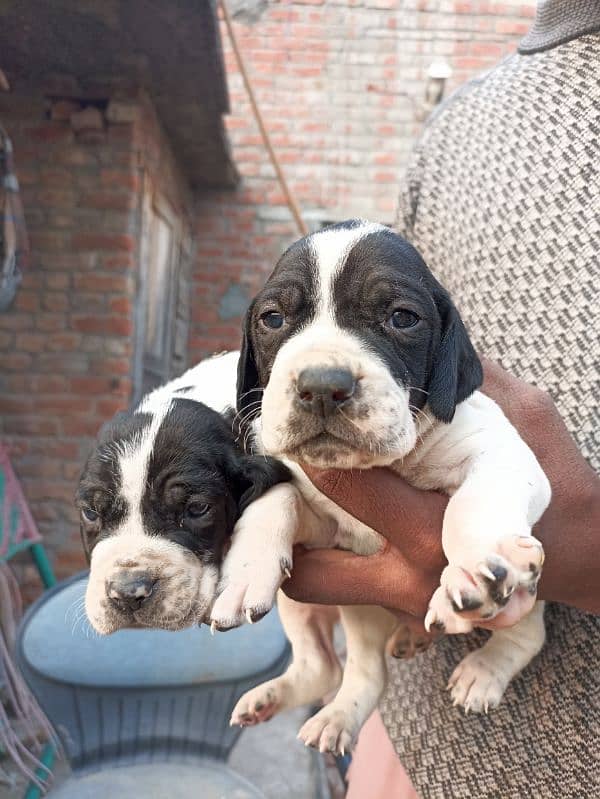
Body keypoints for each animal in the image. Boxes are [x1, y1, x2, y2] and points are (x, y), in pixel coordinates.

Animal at [212, 220, 552, 756]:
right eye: (273, 318)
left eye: (402, 317)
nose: (322, 385)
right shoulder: (322, 518)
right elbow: (276, 497)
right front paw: (246, 567)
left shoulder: (502, 451)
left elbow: (474, 504)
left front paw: (477, 566)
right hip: (322, 608)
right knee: (343, 671)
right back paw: (323, 708)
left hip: (527, 606)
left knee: (526, 635)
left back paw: (483, 668)